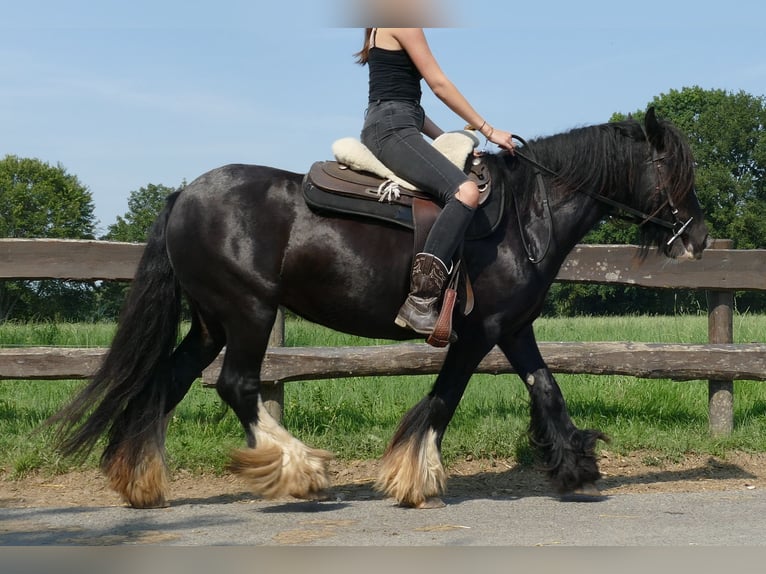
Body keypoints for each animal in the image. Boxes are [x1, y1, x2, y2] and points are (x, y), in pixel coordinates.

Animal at [52, 108, 712, 508]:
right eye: (673, 170)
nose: (700, 238)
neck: (526, 215)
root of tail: (184, 193)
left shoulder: (513, 327)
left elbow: (546, 387)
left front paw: (574, 464)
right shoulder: (478, 333)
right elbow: (444, 399)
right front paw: (412, 478)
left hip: (212, 322)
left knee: (169, 382)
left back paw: (139, 480)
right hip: (249, 313)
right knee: (237, 385)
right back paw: (300, 470)